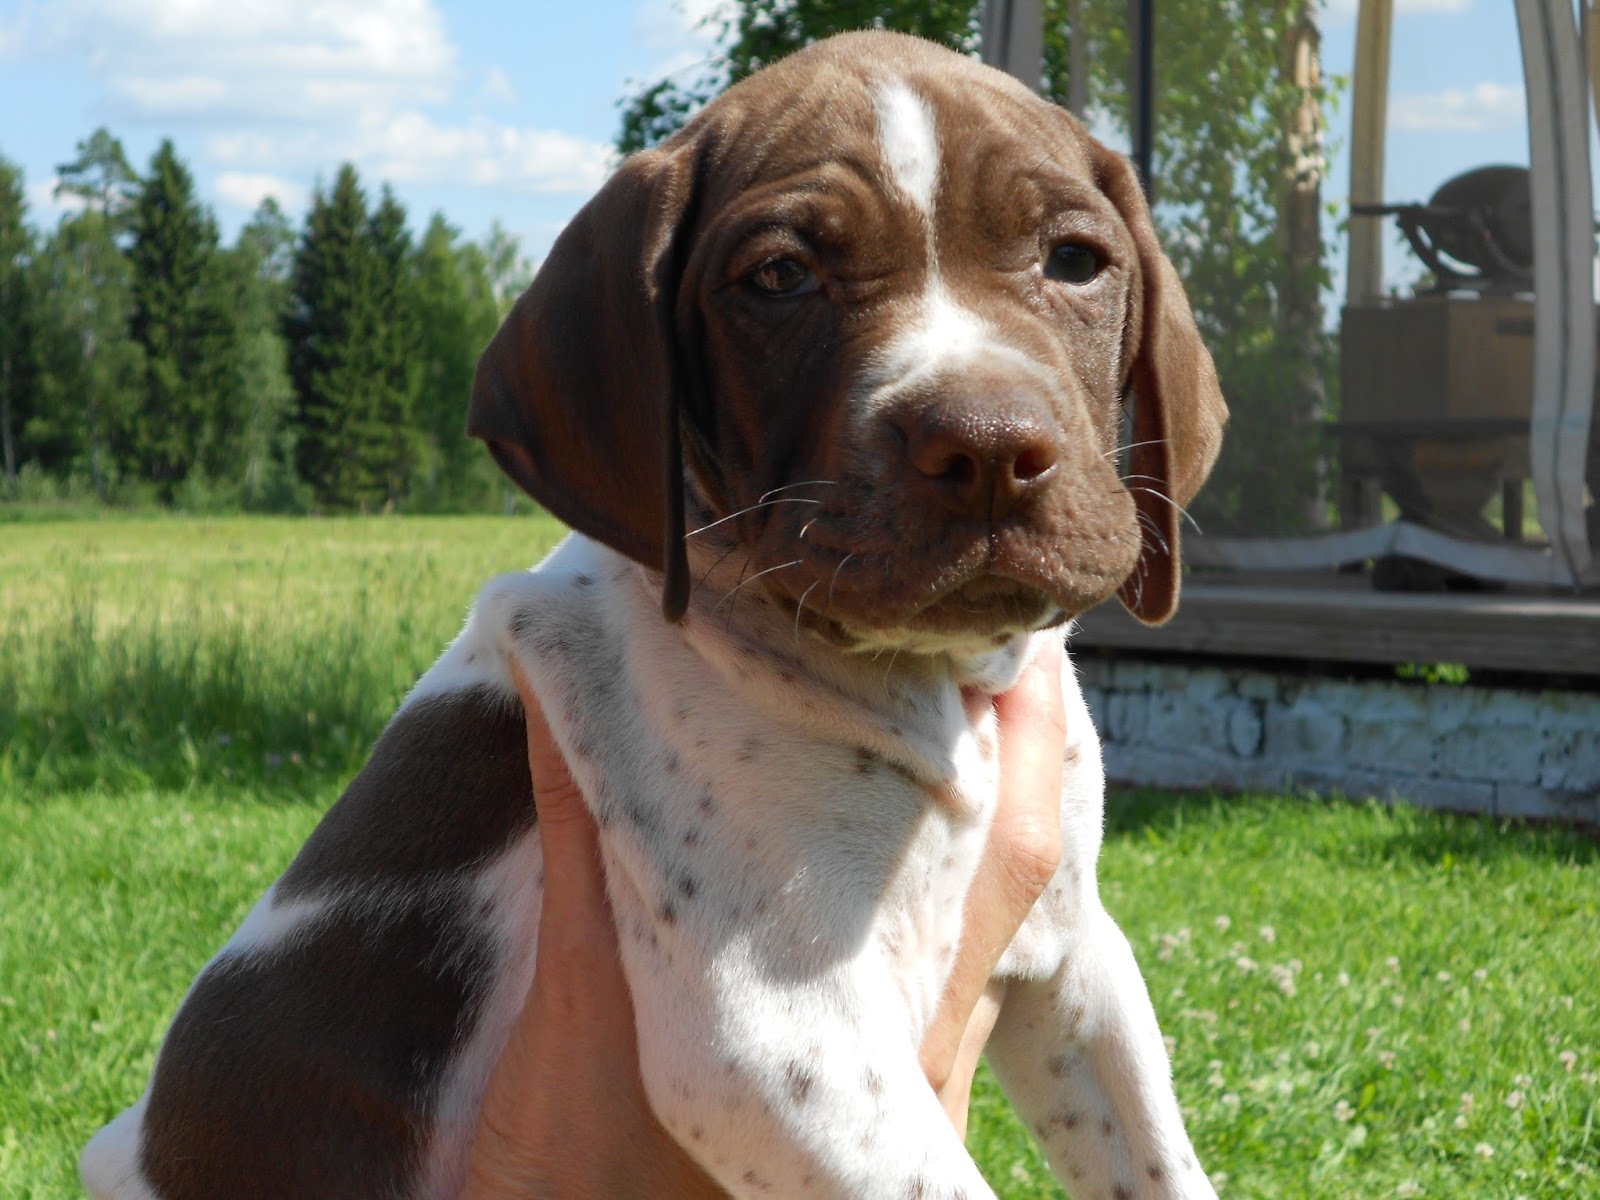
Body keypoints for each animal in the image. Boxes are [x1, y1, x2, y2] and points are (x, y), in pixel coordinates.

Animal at [81, 28, 1222, 1200]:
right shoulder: (779, 1032)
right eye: (780, 277)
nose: (988, 448)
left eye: (1074, 261)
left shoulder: (1073, 951)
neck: (932, 687)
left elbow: (1160, 1163)